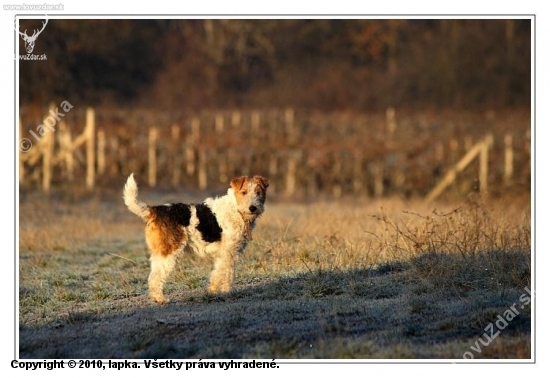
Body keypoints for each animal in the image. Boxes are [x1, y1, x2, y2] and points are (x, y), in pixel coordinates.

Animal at [125, 173, 272, 302]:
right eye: (244, 192)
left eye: (258, 192)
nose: (252, 208)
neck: (236, 209)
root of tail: (154, 210)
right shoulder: (229, 253)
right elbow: (226, 273)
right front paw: (227, 292)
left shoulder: (227, 254)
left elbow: (217, 273)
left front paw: (212, 291)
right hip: (169, 252)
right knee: (155, 277)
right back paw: (160, 299)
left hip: (161, 253)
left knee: (153, 275)